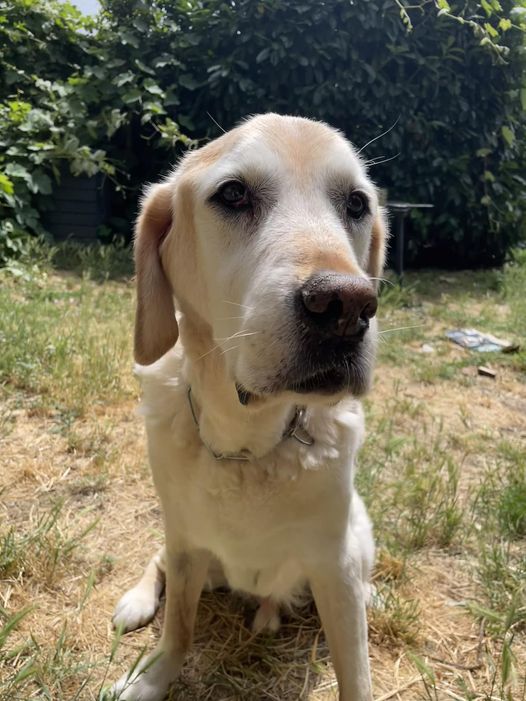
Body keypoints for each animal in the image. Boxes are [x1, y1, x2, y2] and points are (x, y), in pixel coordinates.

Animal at [108, 112, 388, 696]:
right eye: (233, 194)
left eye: (356, 203)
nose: (348, 306)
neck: (249, 443)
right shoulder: (186, 541)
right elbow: (179, 628)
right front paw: (153, 677)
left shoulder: (334, 564)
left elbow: (356, 671)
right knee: (157, 561)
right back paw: (138, 600)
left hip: (358, 534)